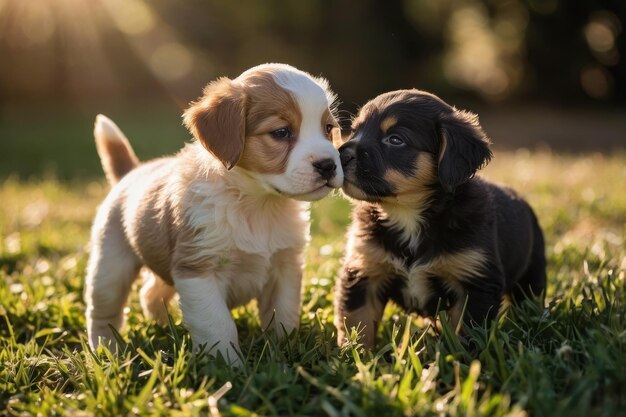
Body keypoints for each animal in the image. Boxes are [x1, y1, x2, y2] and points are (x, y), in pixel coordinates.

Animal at [84, 62, 342, 364]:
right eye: (281, 132)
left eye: (328, 128)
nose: (328, 165)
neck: (257, 204)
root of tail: (132, 171)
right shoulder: (197, 271)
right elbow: (218, 324)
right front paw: (228, 365)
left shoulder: (285, 267)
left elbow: (284, 315)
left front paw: (284, 352)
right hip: (110, 269)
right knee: (103, 312)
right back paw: (106, 348)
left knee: (150, 293)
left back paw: (162, 324)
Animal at [334, 91, 544, 348]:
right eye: (354, 130)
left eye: (395, 140)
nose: (341, 154)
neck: (407, 214)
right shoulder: (364, 269)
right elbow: (357, 321)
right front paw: (355, 353)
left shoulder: (474, 281)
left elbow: (465, 334)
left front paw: (457, 356)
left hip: (532, 273)